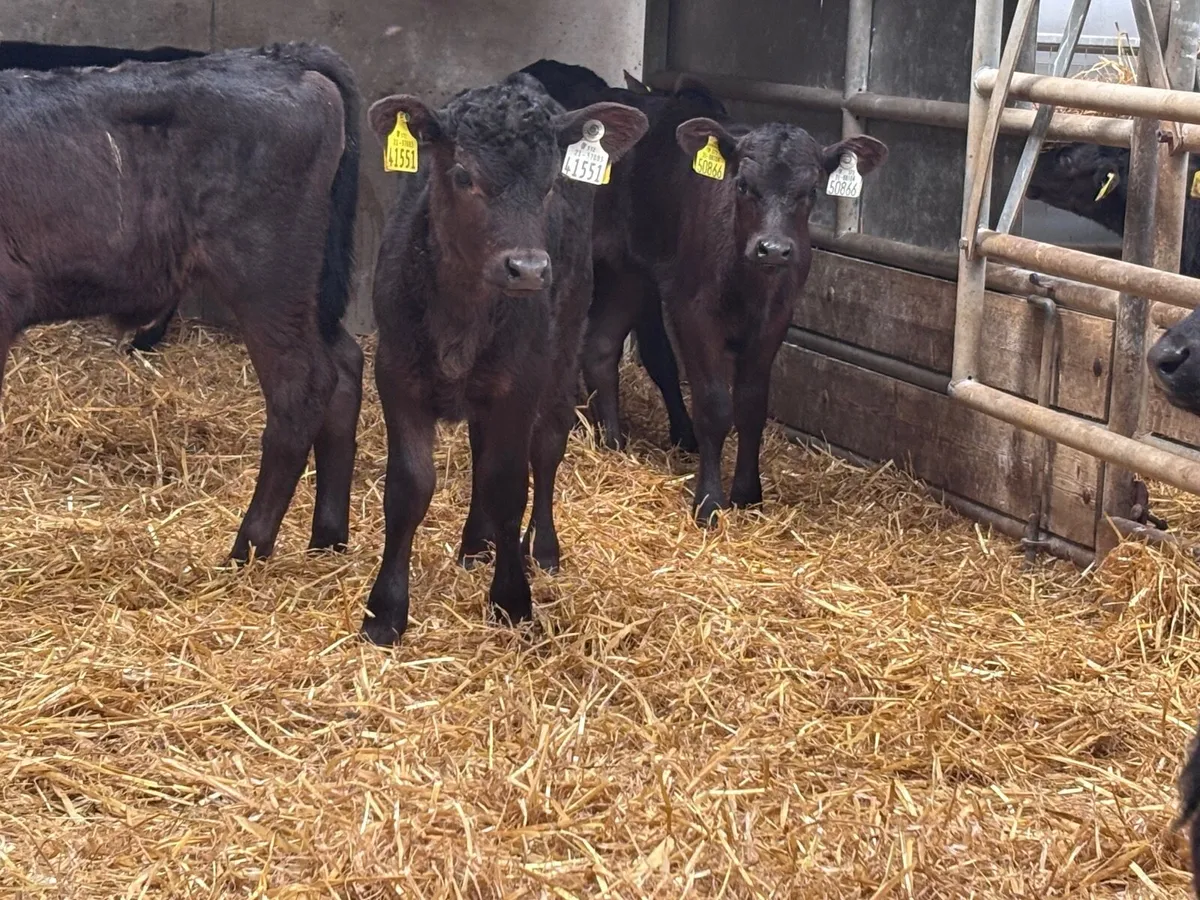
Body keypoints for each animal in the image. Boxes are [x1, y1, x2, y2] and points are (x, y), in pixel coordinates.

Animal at [360, 73, 648, 645]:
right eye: (462, 175)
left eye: (551, 183)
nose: (529, 269)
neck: (462, 312)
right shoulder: (395, 373)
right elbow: (409, 486)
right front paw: (386, 611)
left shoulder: (521, 380)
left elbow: (509, 482)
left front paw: (512, 599)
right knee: (479, 449)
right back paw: (477, 543)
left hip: (562, 348)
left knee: (547, 445)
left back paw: (541, 548)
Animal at [585, 78, 886, 524]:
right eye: (742, 184)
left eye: (811, 190)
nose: (773, 249)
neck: (750, 284)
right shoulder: (693, 312)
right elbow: (714, 407)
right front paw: (709, 502)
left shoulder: (775, 319)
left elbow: (751, 405)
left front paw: (748, 494)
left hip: (629, 274)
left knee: (601, 347)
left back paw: (611, 442)